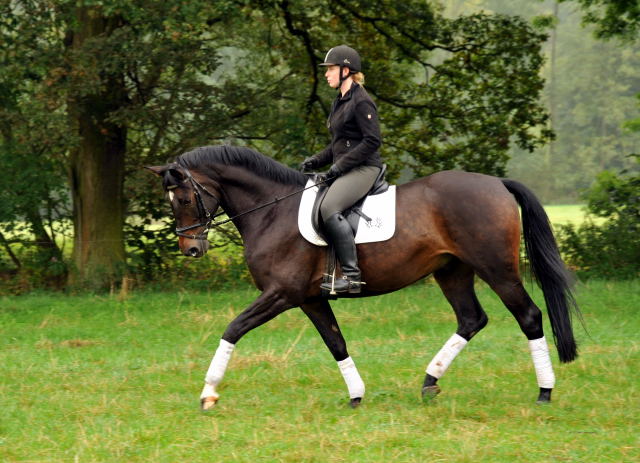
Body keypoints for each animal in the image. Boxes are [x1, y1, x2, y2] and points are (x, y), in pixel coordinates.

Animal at [148, 144, 584, 410]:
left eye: (183, 198)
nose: (191, 250)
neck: (272, 210)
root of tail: (496, 183)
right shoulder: (310, 298)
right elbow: (336, 343)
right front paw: (356, 395)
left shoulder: (281, 293)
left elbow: (233, 329)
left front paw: (208, 393)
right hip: (451, 271)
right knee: (471, 319)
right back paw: (429, 381)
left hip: (496, 268)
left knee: (528, 316)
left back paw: (544, 391)